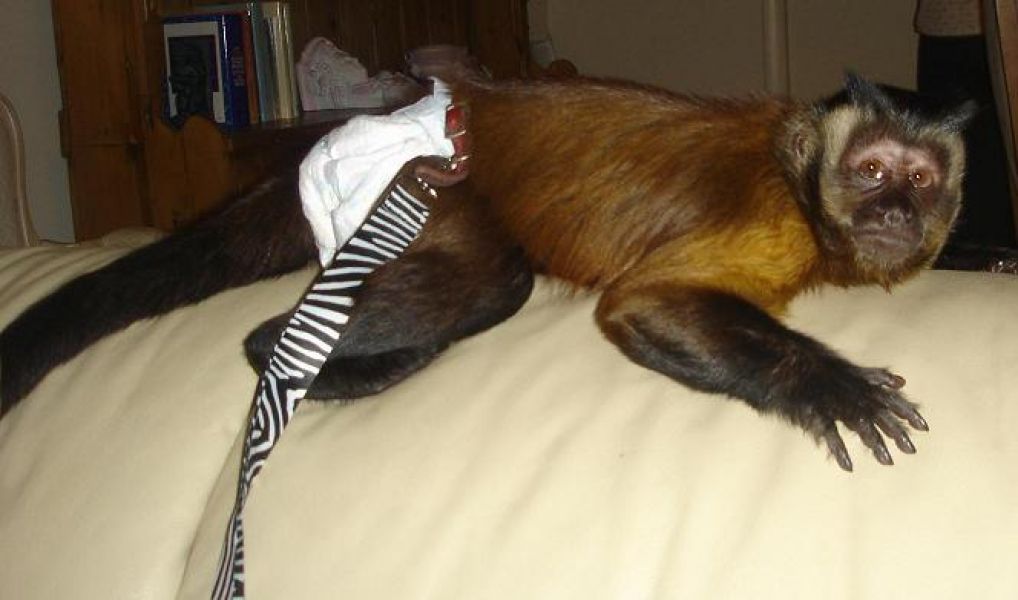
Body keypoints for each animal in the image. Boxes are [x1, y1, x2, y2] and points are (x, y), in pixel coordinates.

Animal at [0, 73, 973, 471]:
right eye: (872, 172)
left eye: (920, 180)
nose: (897, 211)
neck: (805, 191)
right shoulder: (775, 224)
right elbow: (642, 303)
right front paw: (829, 385)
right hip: (422, 182)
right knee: (494, 280)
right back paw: (288, 353)